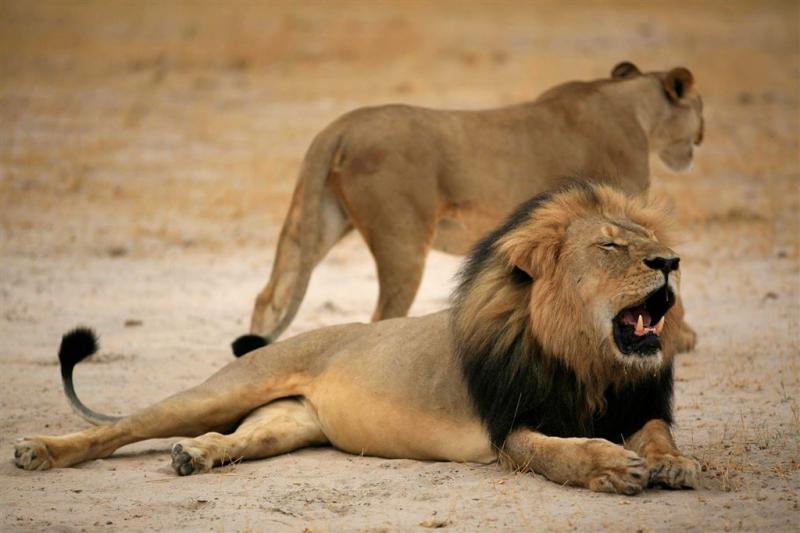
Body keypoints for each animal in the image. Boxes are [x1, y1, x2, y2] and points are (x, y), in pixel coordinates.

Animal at [14, 181, 700, 492]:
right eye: (611, 247)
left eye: (649, 242)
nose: (671, 261)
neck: (589, 361)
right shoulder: (509, 428)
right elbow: (560, 452)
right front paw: (610, 466)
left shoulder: (636, 402)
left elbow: (657, 433)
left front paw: (674, 463)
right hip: (225, 389)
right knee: (120, 428)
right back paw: (40, 451)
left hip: (286, 423)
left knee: (235, 438)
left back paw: (196, 456)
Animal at [239, 60, 708, 352]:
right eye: (700, 105)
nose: (703, 134)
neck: (634, 106)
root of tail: (339, 126)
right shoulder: (621, 209)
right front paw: (681, 337)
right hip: (402, 239)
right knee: (381, 316)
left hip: (318, 219)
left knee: (270, 295)